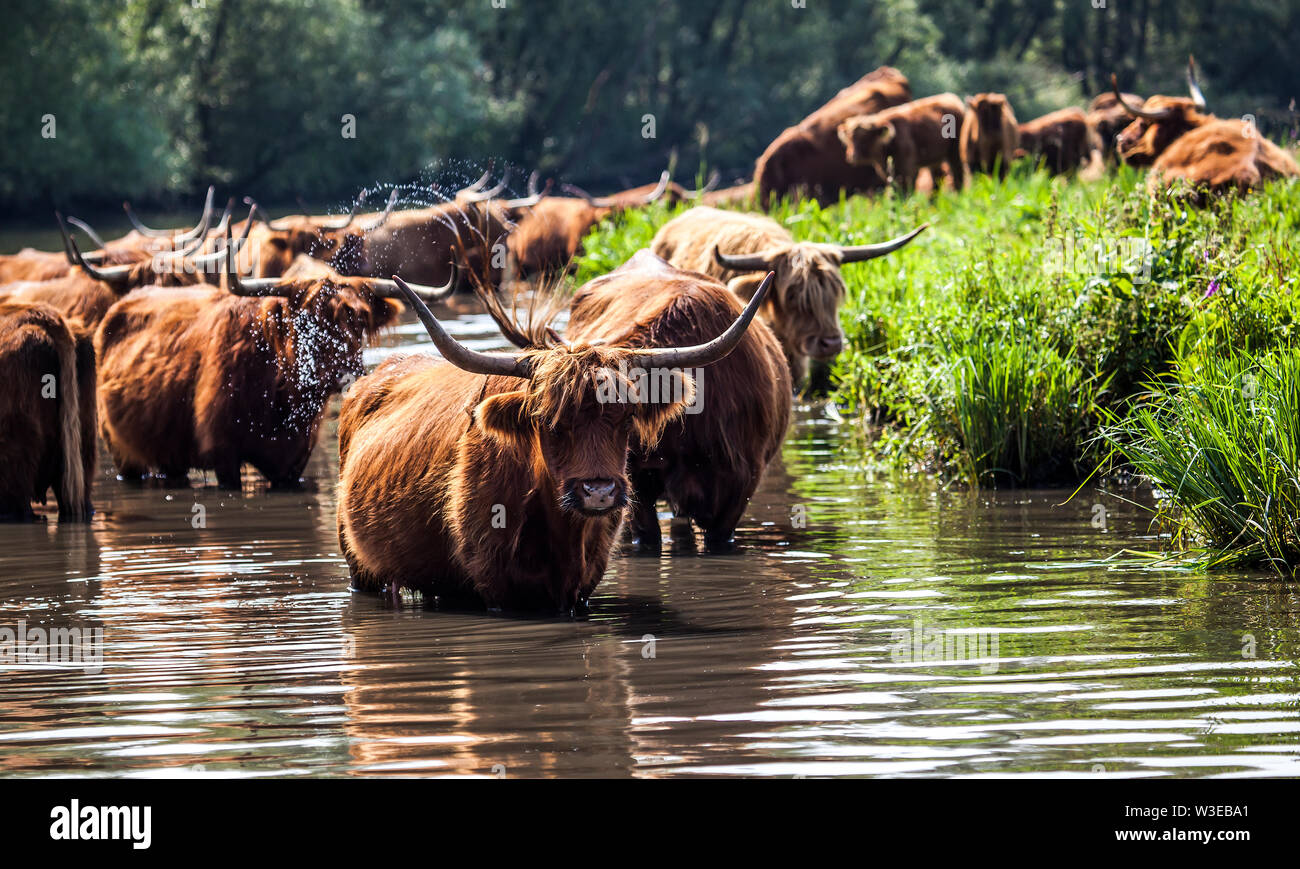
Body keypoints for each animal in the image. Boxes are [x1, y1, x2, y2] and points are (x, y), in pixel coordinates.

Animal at [93, 234, 451, 488]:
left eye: (360, 320)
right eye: (306, 319)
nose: (344, 373)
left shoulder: (293, 464)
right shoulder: (223, 456)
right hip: (122, 452)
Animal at [837, 93, 967, 192]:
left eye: (865, 137)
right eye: (849, 138)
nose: (852, 156)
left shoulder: (906, 169)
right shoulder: (890, 172)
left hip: (954, 155)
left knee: (958, 177)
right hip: (934, 161)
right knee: (937, 181)